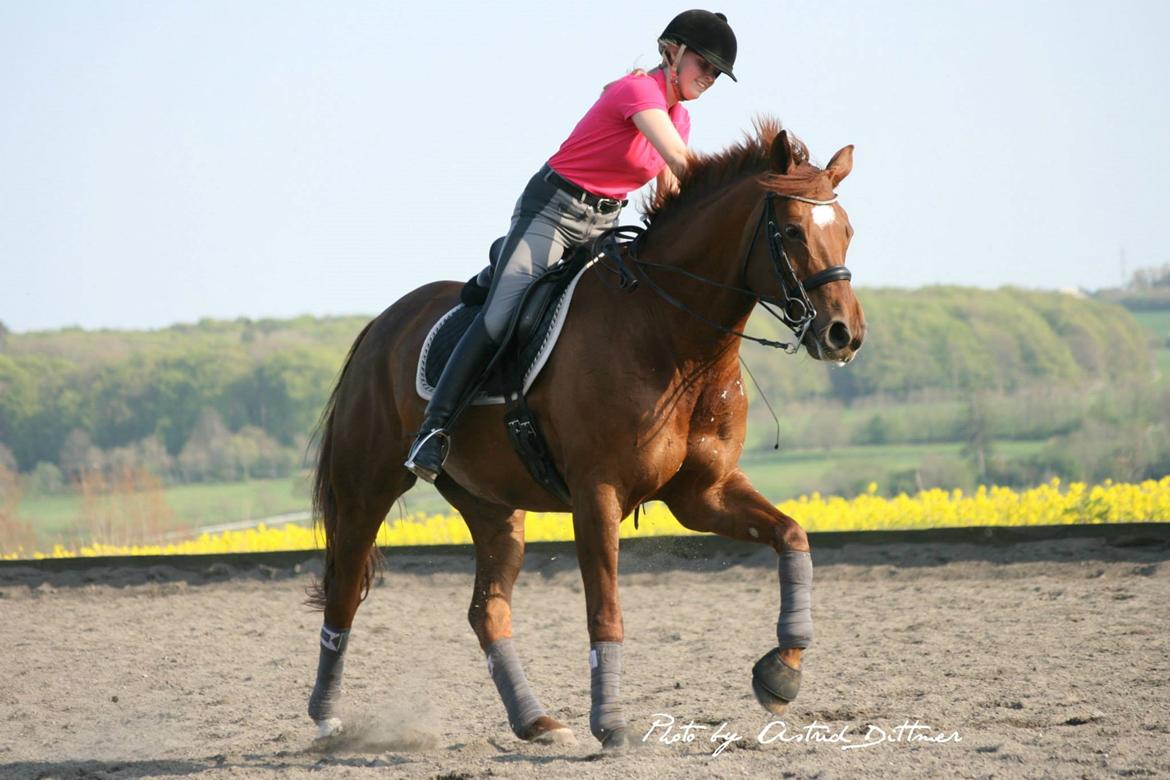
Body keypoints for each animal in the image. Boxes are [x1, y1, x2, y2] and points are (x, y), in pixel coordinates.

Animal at [306, 120, 865, 748]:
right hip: (366, 487)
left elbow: (793, 536)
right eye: (791, 230)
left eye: (846, 231)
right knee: (344, 589)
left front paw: (781, 672)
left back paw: (536, 722)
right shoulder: (598, 495)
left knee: (487, 610)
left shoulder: (705, 494)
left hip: (492, 506)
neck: (672, 337)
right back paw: (326, 715)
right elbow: (606, 611)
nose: (844, 334)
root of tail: (380, 325)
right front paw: (612, 724)